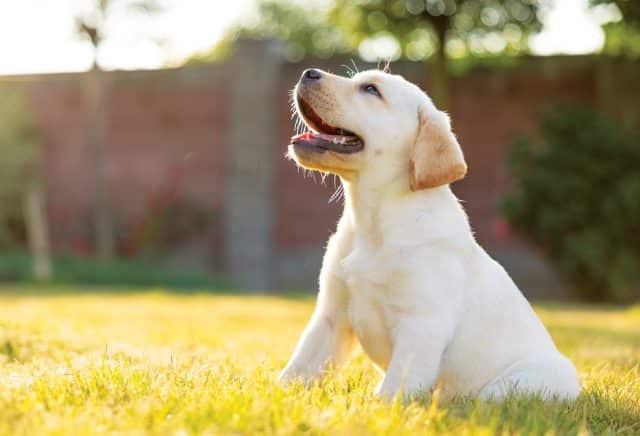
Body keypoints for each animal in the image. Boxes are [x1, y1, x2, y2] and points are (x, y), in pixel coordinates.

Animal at [280, 66, 580, 400]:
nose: (309, 72)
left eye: (371, 89)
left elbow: (395, 386)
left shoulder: (421, 325)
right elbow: (301, 364)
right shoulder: (331, 316)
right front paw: (277, 395)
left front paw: (382, 407)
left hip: (518, 383)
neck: (373, 220)